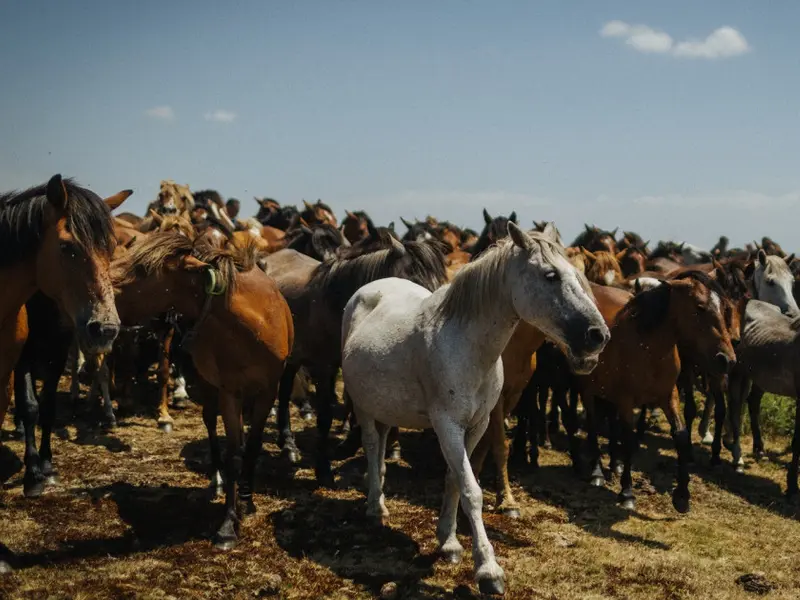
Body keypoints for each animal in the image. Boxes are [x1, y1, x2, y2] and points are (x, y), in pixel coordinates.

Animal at [111, 231, 293, 549]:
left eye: (144, 269)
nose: (103, 284)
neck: (252, 325)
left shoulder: (267, 391)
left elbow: (252, 447)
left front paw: (247, 500)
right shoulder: (229, 392)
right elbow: (234, 455)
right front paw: (228, 524)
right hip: (210, 387)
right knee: (210, 422)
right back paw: (217, 480)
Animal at [341, 222, 609, 595]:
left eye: (577, 273)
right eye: (550, 275)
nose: (598, 335)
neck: (465, 345)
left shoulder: (477, 425)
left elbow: (455, 480)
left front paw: (449, 542)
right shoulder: (447, 426)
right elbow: (472, 490)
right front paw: (488, 569)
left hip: (384, 406)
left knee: (380, 448)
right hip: (363, 405)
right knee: (369, 444)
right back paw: (375, 508)